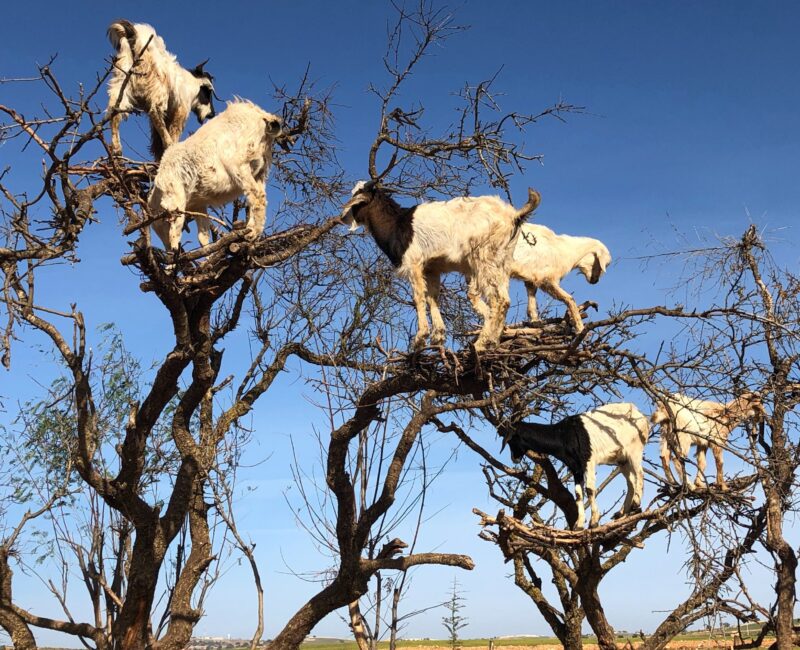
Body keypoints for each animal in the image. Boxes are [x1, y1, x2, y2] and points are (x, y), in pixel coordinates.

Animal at [108, 19, 219, 159]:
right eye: (208, 91)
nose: (212, 114)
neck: (190, 84)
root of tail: (134, 36)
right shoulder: (181, 110)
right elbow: (174, 130)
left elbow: (156, 144)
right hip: (156, 87)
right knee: (155, 112)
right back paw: (169, 143)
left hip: (121, 81)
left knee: (114, 111)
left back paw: (117, 150)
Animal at [148, 99, 284, 251]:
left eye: (163, 224)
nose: (169, 250)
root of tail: (262, 117)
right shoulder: (198, 205)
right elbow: (203, 235)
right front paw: (207, 252)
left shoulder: (176, 196)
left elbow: (176, 229)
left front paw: (175, 251)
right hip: (260, 171)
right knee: (258, 197)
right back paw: (251, 231)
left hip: (239, 163)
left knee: (257, 196)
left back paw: (253, 233)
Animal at [340, 180, 540, 352]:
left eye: (357, 198)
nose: (343, 218)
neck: (397, 224)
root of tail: (512, 215)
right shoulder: (431, 269)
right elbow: (433, 297)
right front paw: (438, 337)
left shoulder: (414, 263)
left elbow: (418, 298)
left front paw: (420, 339)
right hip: (501, 263)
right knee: (504, 299)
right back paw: (493, 341)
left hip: (484, 259)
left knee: (499, 300)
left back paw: (481, 344)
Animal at [504, 402, 652, 528]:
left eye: (511, 440)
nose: (514, 459)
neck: (563, 434)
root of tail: (641, 416)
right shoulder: (575, 467)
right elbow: (578, 494)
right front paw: (579, 525)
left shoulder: (588, 459)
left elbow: (590, 489)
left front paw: (593, 522)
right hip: (622, 459)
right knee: (631, 482)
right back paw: (623, 512)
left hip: (634, 449)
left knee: (640, 473)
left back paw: (635, 504)